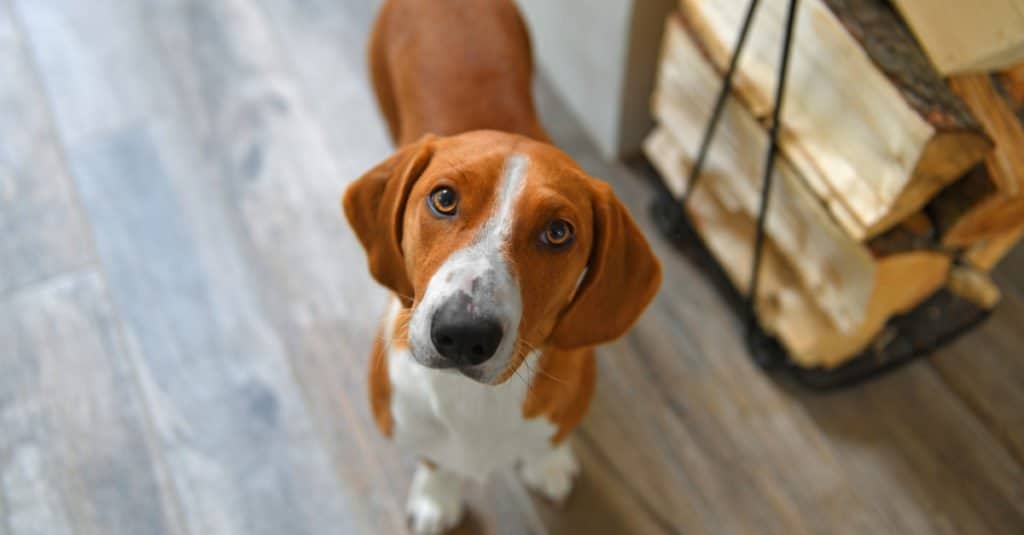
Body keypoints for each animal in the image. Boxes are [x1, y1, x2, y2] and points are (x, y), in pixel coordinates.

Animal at [344, 2, 663, 528]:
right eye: (444, 199)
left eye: (558, 232)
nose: (462, 333)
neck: (475, 403)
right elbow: (433, 458)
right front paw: (437, 495)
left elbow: (550, 439)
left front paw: (547, 465)